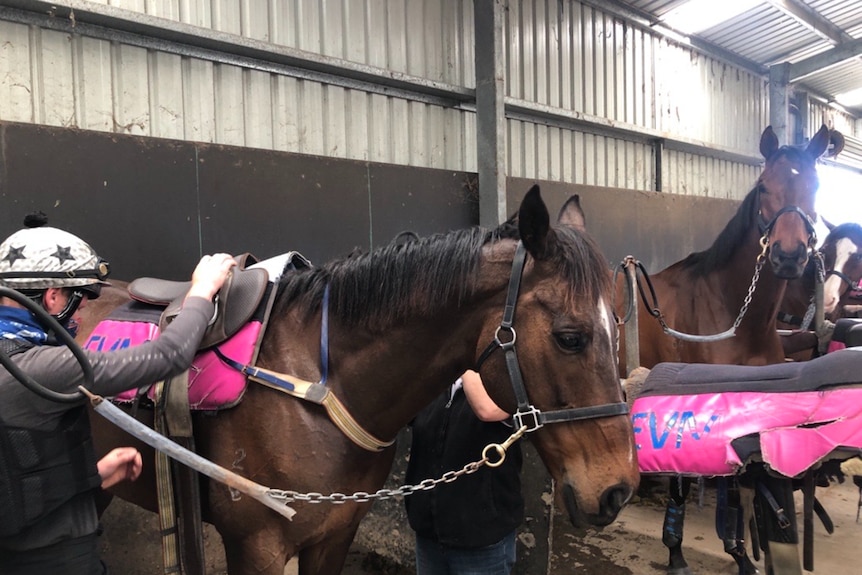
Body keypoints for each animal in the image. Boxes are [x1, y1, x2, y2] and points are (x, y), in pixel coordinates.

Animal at [81, 186, 640, 575]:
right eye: (570, 337)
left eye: (617, 327)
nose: (619, 490)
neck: (318, 385)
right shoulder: (258, 547)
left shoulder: (334, 535)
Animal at [620, 125, 844, 575]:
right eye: (764, 186)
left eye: (814, 185)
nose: (788, 255)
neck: (734, 319)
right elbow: (684, 482)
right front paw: (676, 552)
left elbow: (739, 487)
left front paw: (742, 555)